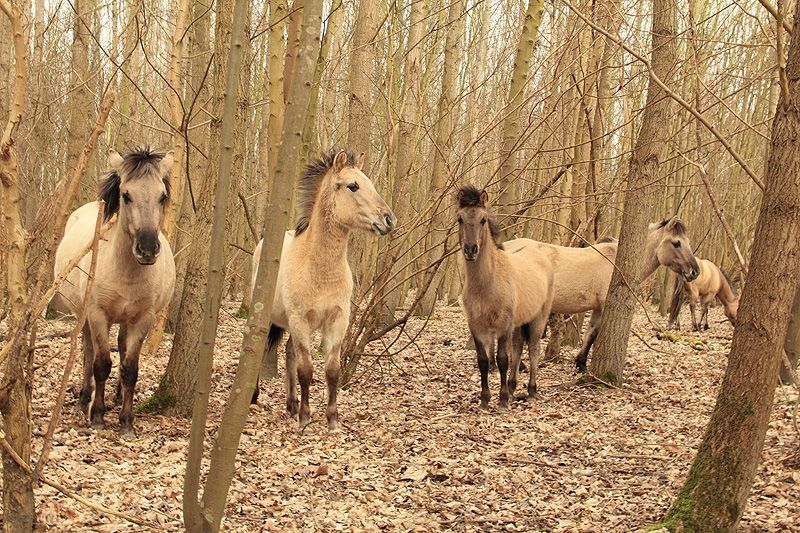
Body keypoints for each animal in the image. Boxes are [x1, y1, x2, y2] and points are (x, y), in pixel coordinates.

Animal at [54, 147, 177, 436]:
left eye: (162, 196)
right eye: (126, 195)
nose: (147, 249)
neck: (124, 271)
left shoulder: (142, 318)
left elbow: (130, 368)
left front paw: (126, 421)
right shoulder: (98, 315)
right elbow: (101, 364)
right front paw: (98, 417)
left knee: (120, 348)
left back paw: (117, 397)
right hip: (86, 316)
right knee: (88, 351)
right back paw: (85, 399)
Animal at [248, 151, 396, 432]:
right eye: (353, 186)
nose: (389, 219)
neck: (319, 269)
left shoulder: (337, 320)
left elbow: (332, 370)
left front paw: (332, 420)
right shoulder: (300, 321)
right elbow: (306, 370)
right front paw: (306, 418)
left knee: (289, 354)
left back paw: (291, 404)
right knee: (262, 352)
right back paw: (255, 397)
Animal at [456, 185, 556, 410]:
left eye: (483, 219)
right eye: (460, 219)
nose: (470, 250)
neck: (487, 283)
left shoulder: (503, 325)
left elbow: (502, 359)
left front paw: (501, 400)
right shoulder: (476, 326)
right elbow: (483, 361)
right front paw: (485, 399)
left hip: (538, 319)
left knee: (533, 349)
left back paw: (531, 390)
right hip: (519, 324)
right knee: (518, 349)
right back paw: (512, 388)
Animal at [506, 216, 700, 370]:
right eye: (676, 243)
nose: (695, 271)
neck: (616, 264)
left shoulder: (598, 309)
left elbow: (590, 333)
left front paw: (581, 364)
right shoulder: (605, 305)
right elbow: (594, 334)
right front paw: (582, 364)